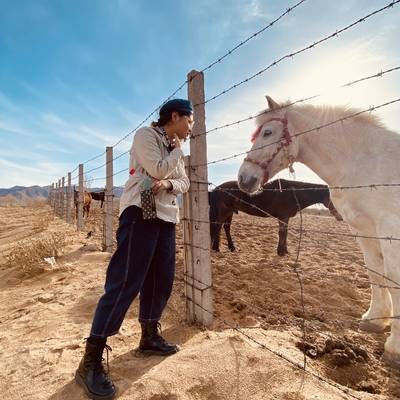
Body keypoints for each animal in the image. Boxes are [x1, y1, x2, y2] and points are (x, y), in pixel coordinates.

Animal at [208, 179, 342, 256]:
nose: (341, 217)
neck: (292, 192)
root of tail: (217, 188)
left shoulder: (285, 218)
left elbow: (285, 233)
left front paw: (285, 251)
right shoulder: (283, 217)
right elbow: (282, 233)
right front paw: (281, 252)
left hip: (230, 212)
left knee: (225, 228)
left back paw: (230, 247)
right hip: (224, 212)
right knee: (217, 227)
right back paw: (216, 248)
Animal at [238, 95, 400, 368]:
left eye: (268, 132)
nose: (244, 178)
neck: (364, 162)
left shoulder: (389, 229)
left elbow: (392, 277)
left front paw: (395, 348)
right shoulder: (364, 228)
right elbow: (374, 271)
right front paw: (375, 319)